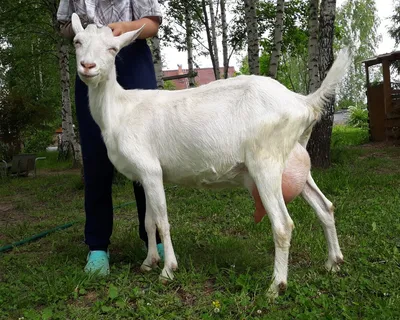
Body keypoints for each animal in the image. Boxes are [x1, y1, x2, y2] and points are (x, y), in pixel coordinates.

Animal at [71, 12, 350, 298]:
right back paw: (333, 263)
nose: (87, 66)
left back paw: (276, 286)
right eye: (77, 42)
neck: (120, 111)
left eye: (113, 49)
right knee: (325, 206)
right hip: (295, 162)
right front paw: (149, 262)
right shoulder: (144, 176)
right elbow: (149, 221)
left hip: (266, 162)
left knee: (283, 224)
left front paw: (168, 270)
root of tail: (303, 103)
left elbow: (162, 221)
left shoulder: (150, 169)